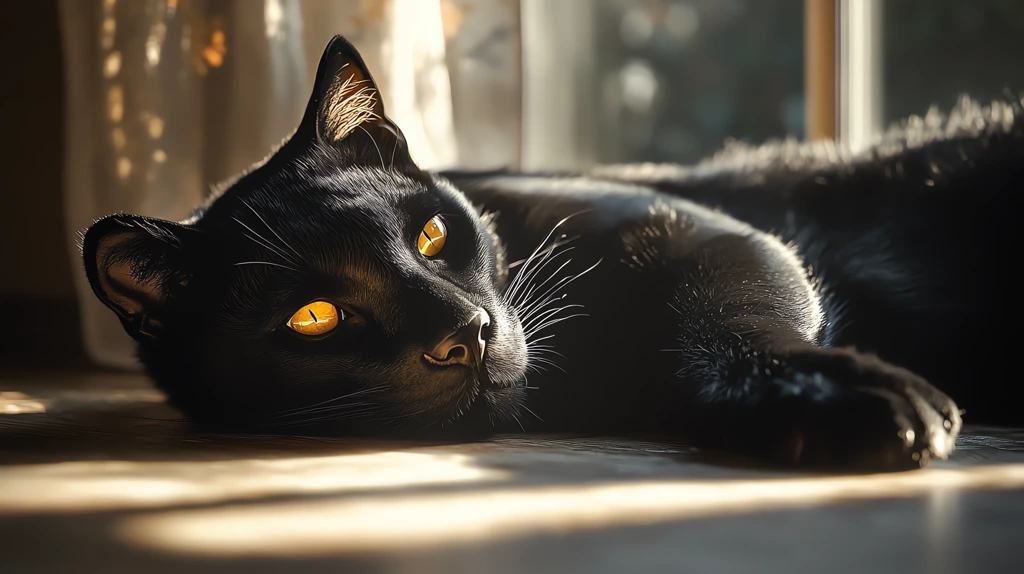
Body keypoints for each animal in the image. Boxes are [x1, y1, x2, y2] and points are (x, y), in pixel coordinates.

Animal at [81, 35, 1024, 468]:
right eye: (314, 316)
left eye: (431, 235)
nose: (467, 332)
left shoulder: (702, 232)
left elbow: (732, 320)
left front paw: (839, 392)